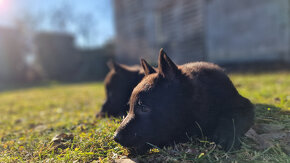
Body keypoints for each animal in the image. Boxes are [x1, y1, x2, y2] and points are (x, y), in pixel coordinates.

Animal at [114, 48, 255, 154]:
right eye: (129, 108)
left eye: (143, 108)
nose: (115, 137)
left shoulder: (243, 104)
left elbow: (234, 117)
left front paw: (226, 135)